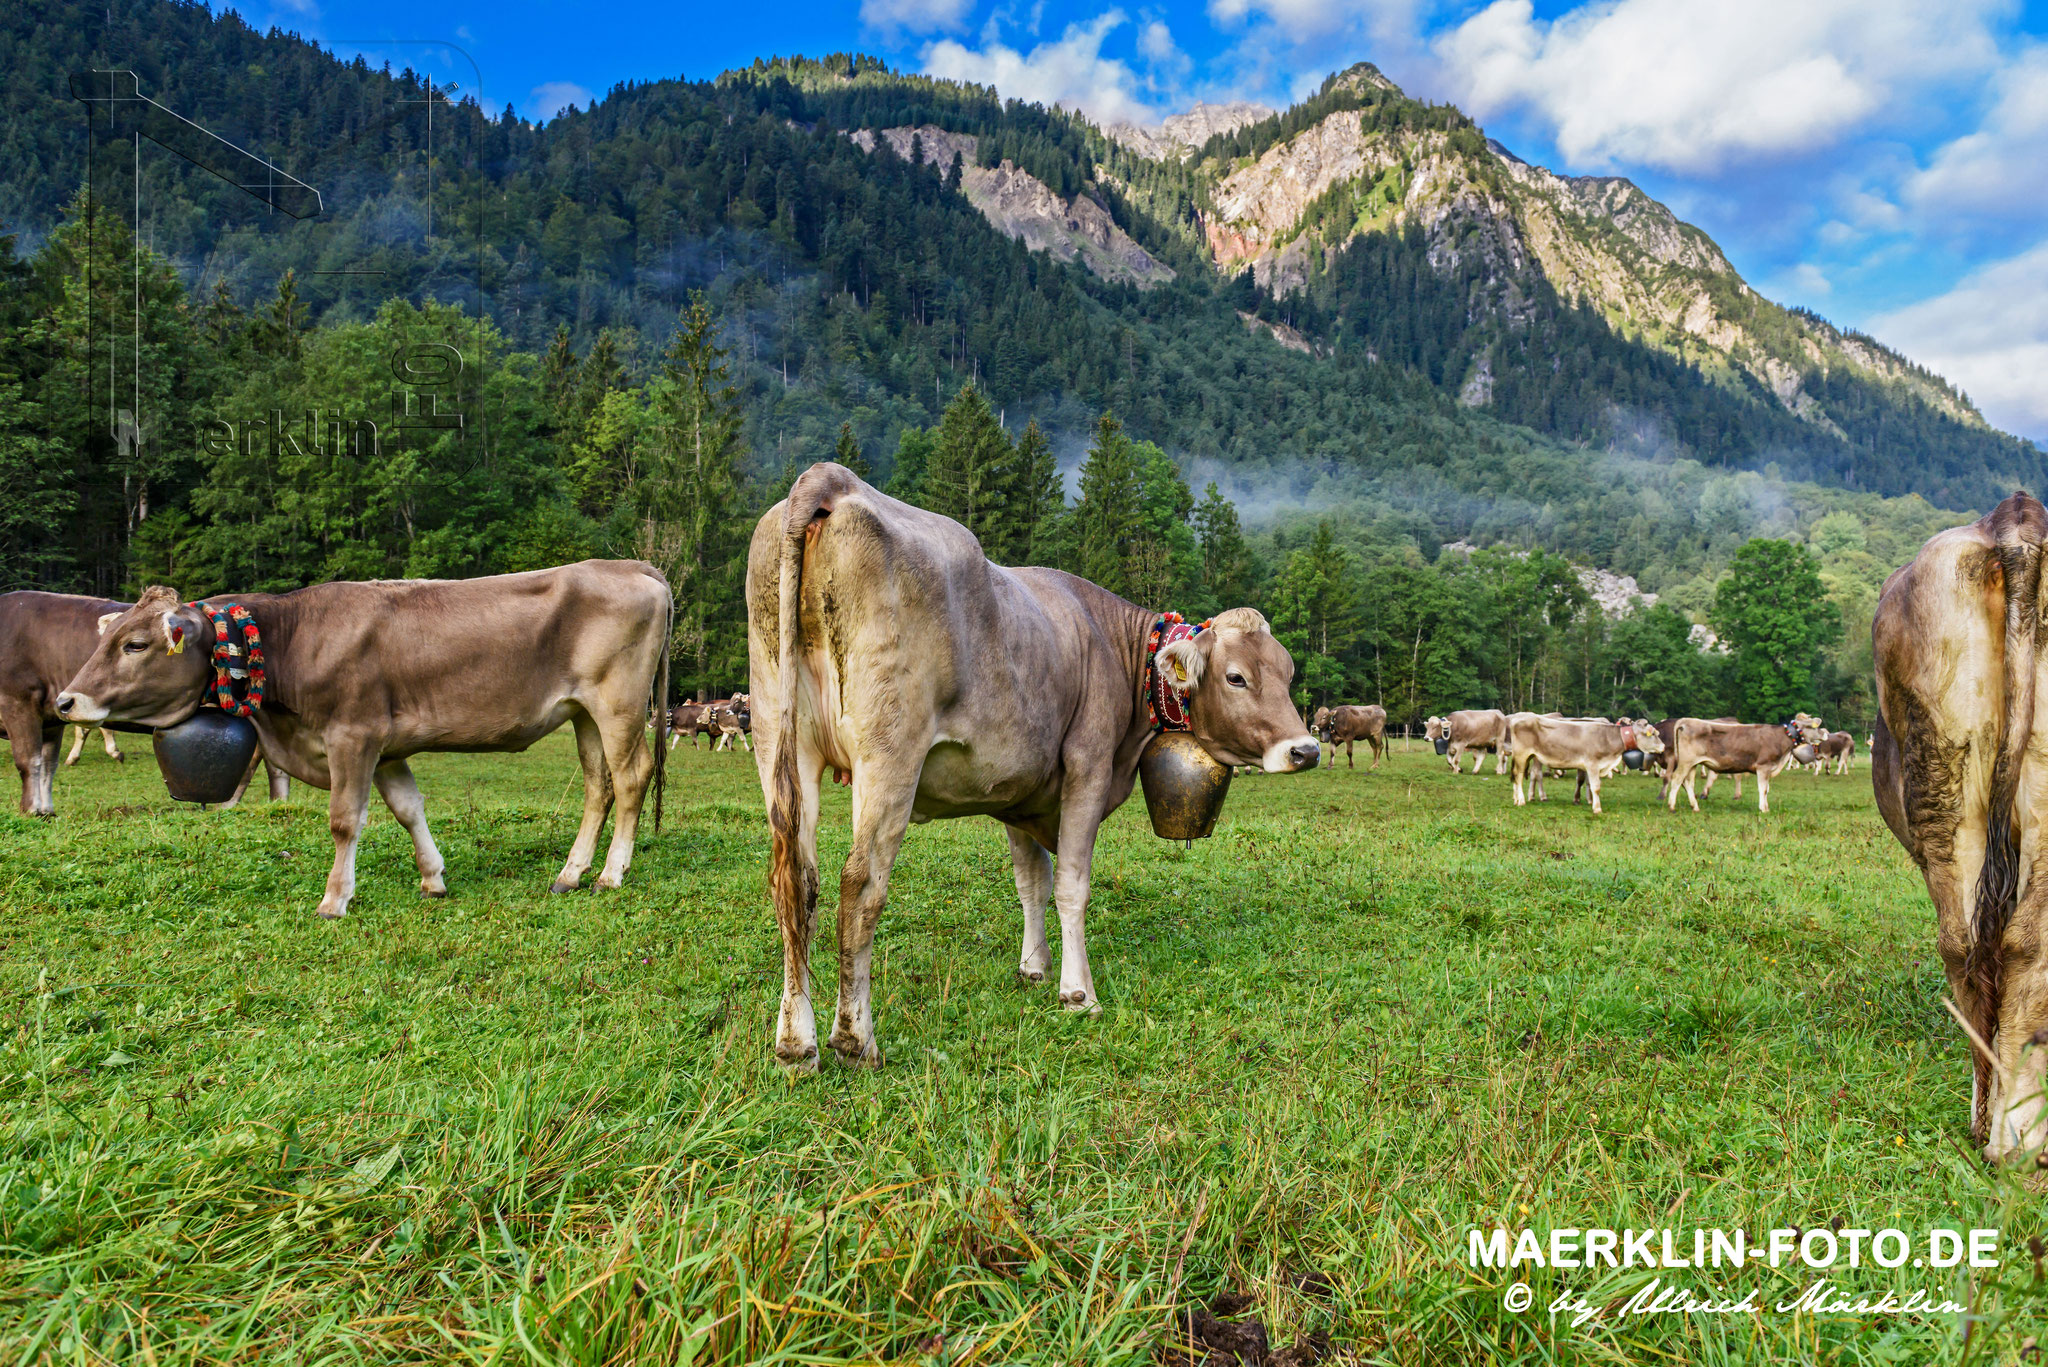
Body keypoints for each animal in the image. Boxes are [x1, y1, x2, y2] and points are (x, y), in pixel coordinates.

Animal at [58, 561, 671, 926]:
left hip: (617, 703)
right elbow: (408, 808)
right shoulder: (387, 746)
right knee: (598, 785)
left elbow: (345, 820)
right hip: (583, 712)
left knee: (630, 777)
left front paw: (334, 899)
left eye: (136, 645)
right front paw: (433, 878)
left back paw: (611, 874)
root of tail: (627, 564)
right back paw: (570, 873)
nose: (66, 701)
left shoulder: (353, 734)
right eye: (113, 637)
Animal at [749, 465, 1310, 1073]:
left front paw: (1034, 967)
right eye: (1236, 677)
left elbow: (1030, 882)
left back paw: (795, 1043)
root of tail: (833, 479)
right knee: (860, 886)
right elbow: (1070, 883)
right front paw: (1077, 992)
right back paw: (855, 1041)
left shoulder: (1019, 791)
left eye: (1287, 672)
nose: (1306, 750)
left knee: (795, 884)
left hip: (777, 738)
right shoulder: (1088, 767)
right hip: (889, 752)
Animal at [1507, 717, 1662, 811]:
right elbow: (1596, 786)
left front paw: (1590, 801)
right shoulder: (1592, 764)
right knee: (1519, 777)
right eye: (1653, 734)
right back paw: (1521, 800)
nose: (1664, 746)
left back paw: (1516, 799)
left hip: (1529, 756)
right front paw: (1597, 808)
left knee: (1518, 776)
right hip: (1521, 755)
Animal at [1662, 717, 1826, 811]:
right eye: (1814, 727)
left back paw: (1694, 806)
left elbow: (1767, 789)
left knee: (1688, 782)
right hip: (1686, 762)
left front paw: (1766, 807)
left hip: (1692, 764)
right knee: (1677, 779)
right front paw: (1763, 809)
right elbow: (1763, 789)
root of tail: (1685, 721)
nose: (1825, 733)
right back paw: (1671, 806)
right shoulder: (1763, 766)